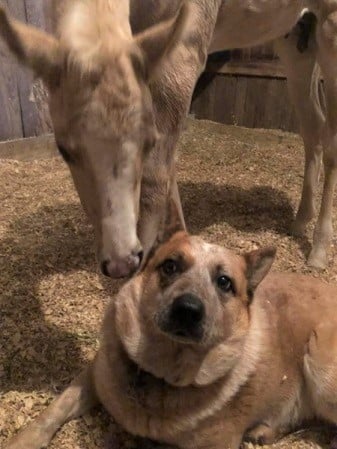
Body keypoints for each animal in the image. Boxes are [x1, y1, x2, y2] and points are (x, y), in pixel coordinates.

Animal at [0, 0, 334, 270]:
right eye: (64, 150)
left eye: (148, 142)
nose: (120, 262)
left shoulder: (182, 51)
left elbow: (155, 176)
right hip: (296, 41)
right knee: (313, 126)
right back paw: (300, 221)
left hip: (330, 29)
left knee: (330, 139)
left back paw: (318, 251)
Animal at [3, 211, 336, 448]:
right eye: (170, 266)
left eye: (224, 282)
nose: (187, 310)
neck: (159, 373)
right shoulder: (93, 375)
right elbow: (53, 411)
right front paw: (23, 441)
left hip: (319, 363)